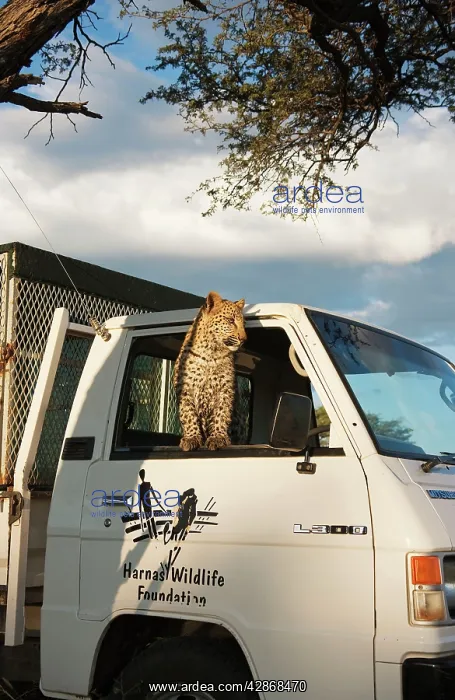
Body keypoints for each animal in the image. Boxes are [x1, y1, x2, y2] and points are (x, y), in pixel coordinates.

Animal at [173, 290, 247, 451]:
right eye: (230, 320)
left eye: (243, 324)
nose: (244, 339)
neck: (211, 352)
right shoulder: (185, 388)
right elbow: (188, 414)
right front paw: (191, 437)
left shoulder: (225, 390)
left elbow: (221, 413)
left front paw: (218, 437)